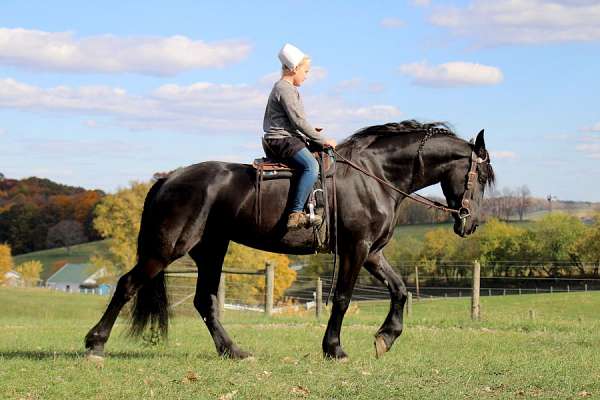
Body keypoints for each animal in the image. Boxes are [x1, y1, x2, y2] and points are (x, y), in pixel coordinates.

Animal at [85, 119, 496, 360]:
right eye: (480, 176)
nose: (472, 223)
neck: (375, 175)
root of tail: (170, 177)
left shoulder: (372, 252)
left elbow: (400, 290)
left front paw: (386, 337)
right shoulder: (356, 249)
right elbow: (342, 299)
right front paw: (334, 349)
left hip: (210, 251)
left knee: (205, 302)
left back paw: (233, 350)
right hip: (168, 249)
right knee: (127, 285)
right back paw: (95, 343)